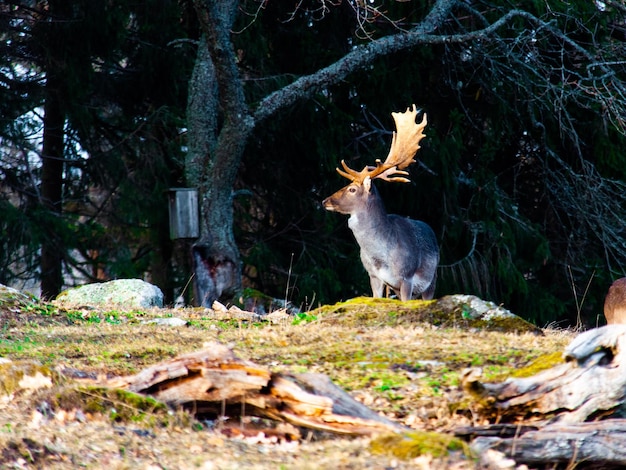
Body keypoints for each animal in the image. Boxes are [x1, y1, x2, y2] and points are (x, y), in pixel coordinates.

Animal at [324, 104, 436, 300]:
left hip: (432, 280)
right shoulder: (374, 276)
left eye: (352, 189)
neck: (381, 256)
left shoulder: (406, 277)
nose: (325, 201)